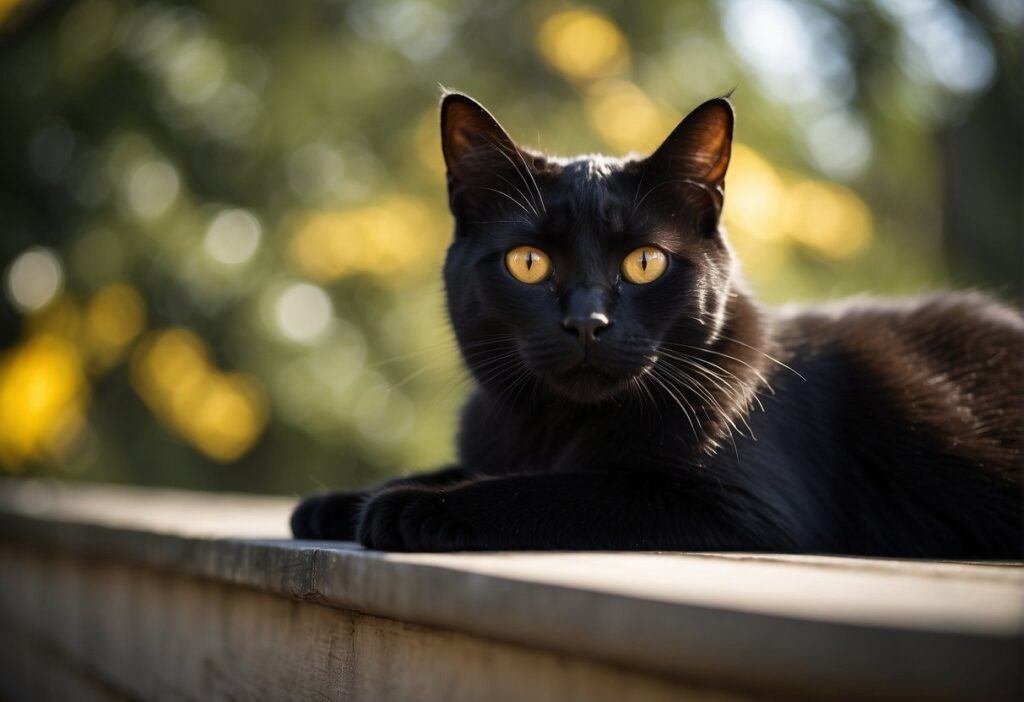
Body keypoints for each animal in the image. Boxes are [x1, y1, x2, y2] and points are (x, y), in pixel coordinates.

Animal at [290, 93, 1024, 556]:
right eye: (528, 262)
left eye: (644, 262)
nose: (587, 321)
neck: (555, 427)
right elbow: (464, 467)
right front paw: (339, 502)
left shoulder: (734, 504)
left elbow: (557, 491)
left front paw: (412, 506)